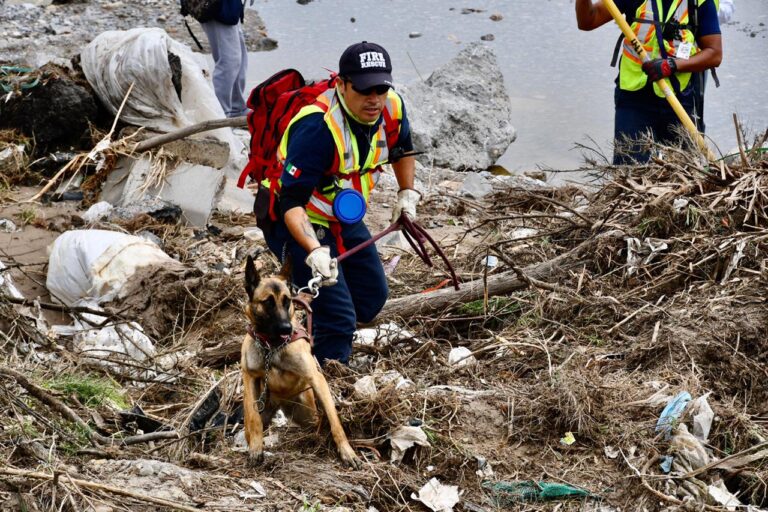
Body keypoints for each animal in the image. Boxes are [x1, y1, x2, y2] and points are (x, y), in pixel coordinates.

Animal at [240, 256, 360, 468]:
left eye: (287, 301)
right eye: (268, 302)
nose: (287, 328)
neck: (272, 346)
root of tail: (280, 402)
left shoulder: (316, 378)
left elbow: (335, 420)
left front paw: (347, 452)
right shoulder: (250, 378)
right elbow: (254, 420)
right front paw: (255, 448)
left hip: (308, 411)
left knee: (317, 420)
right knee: (251, 420)